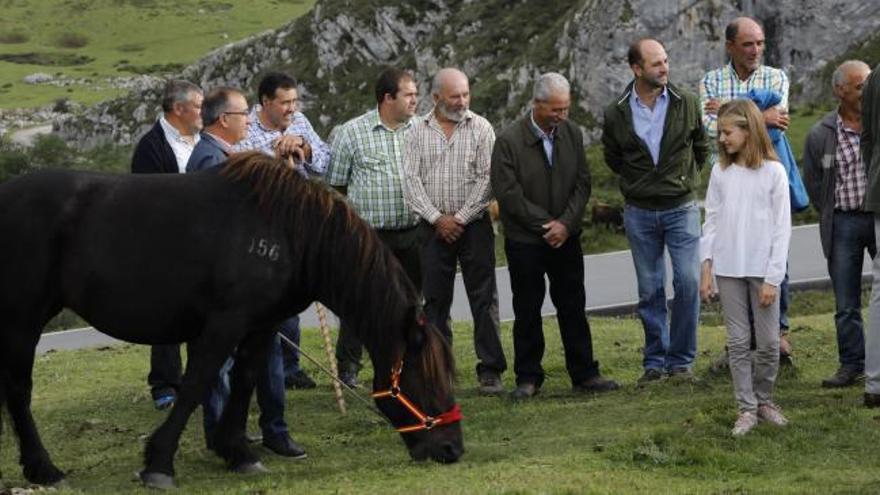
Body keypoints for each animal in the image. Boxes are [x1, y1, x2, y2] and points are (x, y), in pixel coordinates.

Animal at [0, 153, 460, 490]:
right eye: (425, 377)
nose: (452, 450)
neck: (289, 231)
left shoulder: (262, 325)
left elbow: (245, 381)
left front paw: (236, 451)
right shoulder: (223, 325)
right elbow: (196, 386)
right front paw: (159, 463)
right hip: (22, 321)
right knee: (19, 393)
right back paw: (44, 469)